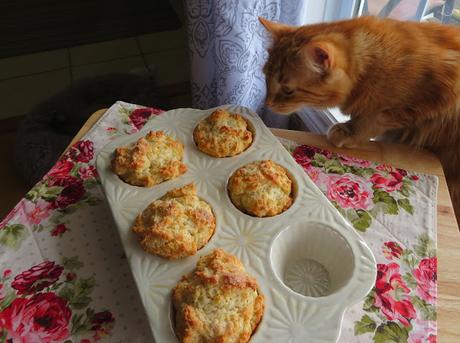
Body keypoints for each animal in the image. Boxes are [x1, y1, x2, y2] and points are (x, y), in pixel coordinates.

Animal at [260, 16, 460, 226]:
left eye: (288, 90)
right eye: (266, 77)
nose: (268, 103)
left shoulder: (432, 98)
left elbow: (376, 118)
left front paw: (349, 131)